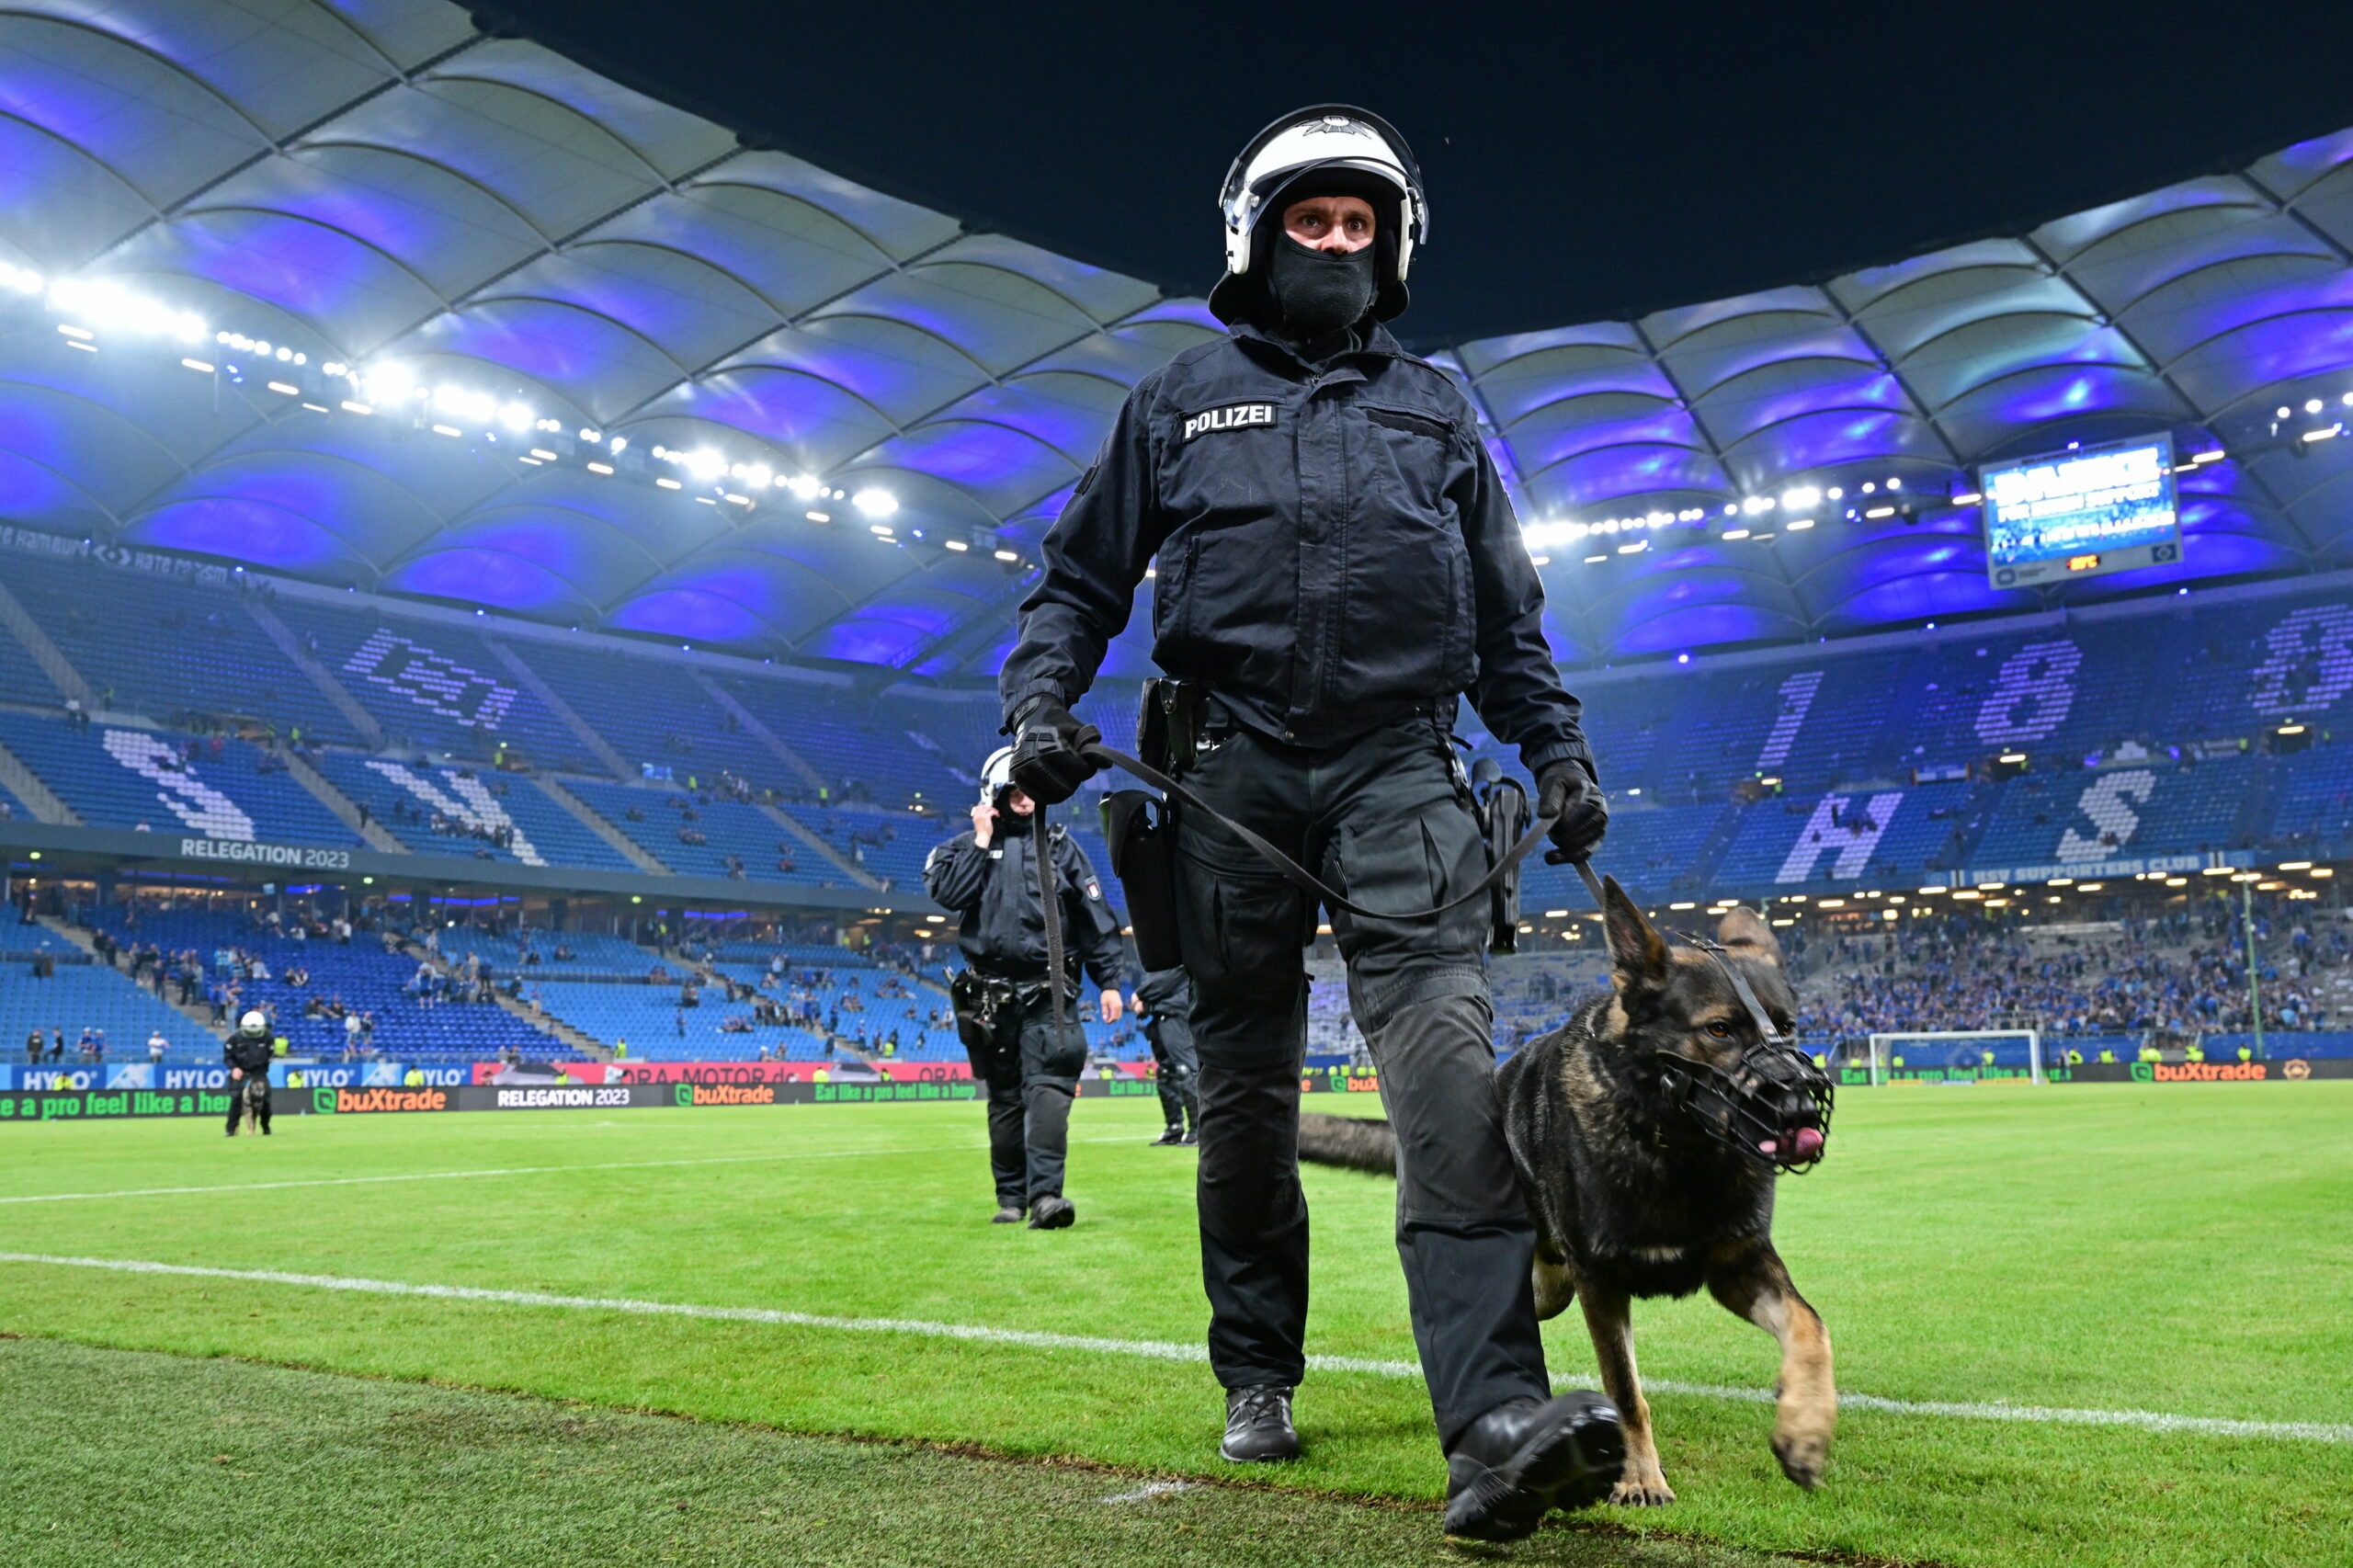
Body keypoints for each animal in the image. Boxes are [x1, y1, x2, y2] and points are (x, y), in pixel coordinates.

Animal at [1308, 881, 1835, 1506]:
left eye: (1788, 1026)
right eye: (1719, 1030)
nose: (1800, 1109)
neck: (1671, 1145)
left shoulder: (1739, 1267)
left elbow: (1812, 1328)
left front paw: (1804, 1430)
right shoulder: (1600, 1281)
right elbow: (1625, 1389)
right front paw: (1640, 1476)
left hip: (1553, 1287)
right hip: (1546, 1281)